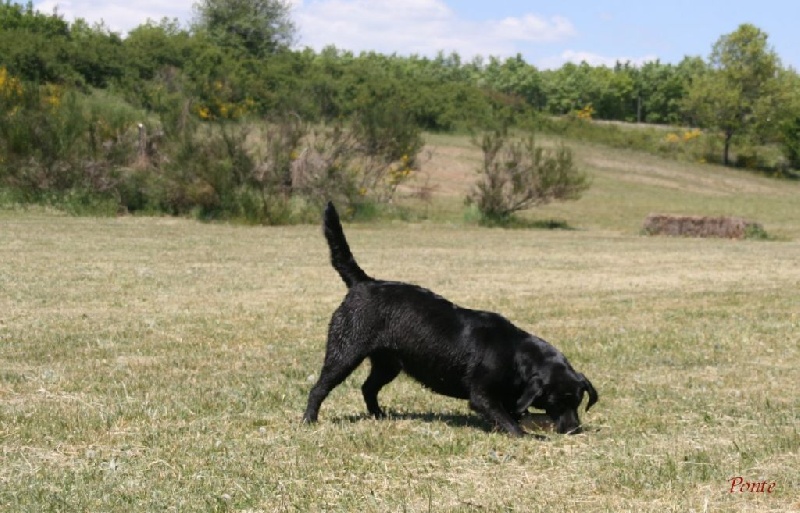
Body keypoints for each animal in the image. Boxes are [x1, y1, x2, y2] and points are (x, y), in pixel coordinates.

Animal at [303, 202, 598, 436]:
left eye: (577, 401)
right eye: (557, 401)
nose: (574, 429)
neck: (515, 353)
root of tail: (363, 282)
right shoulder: (482, 395)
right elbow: (508, 421)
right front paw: (528, 436)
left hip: (388, 363)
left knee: (368, 388)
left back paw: (379, 415)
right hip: (345, 352)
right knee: (319, 388)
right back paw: (309, 420)